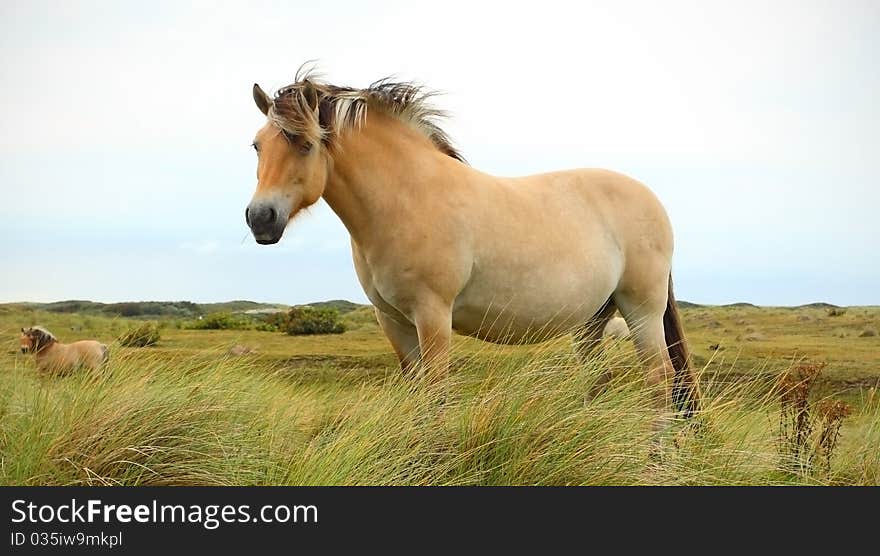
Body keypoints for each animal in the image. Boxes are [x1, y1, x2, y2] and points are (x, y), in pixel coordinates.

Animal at [246, 70, 700, 426]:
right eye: (257, 145)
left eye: (305, 144)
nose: (260, 218)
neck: (408, 196)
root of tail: (651, 200)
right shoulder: (392, 320)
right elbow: (417, 397)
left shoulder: (432, 315)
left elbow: (436, 398)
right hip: (593, 319)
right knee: (599, 383)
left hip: (641, 310)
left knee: (661, 383)